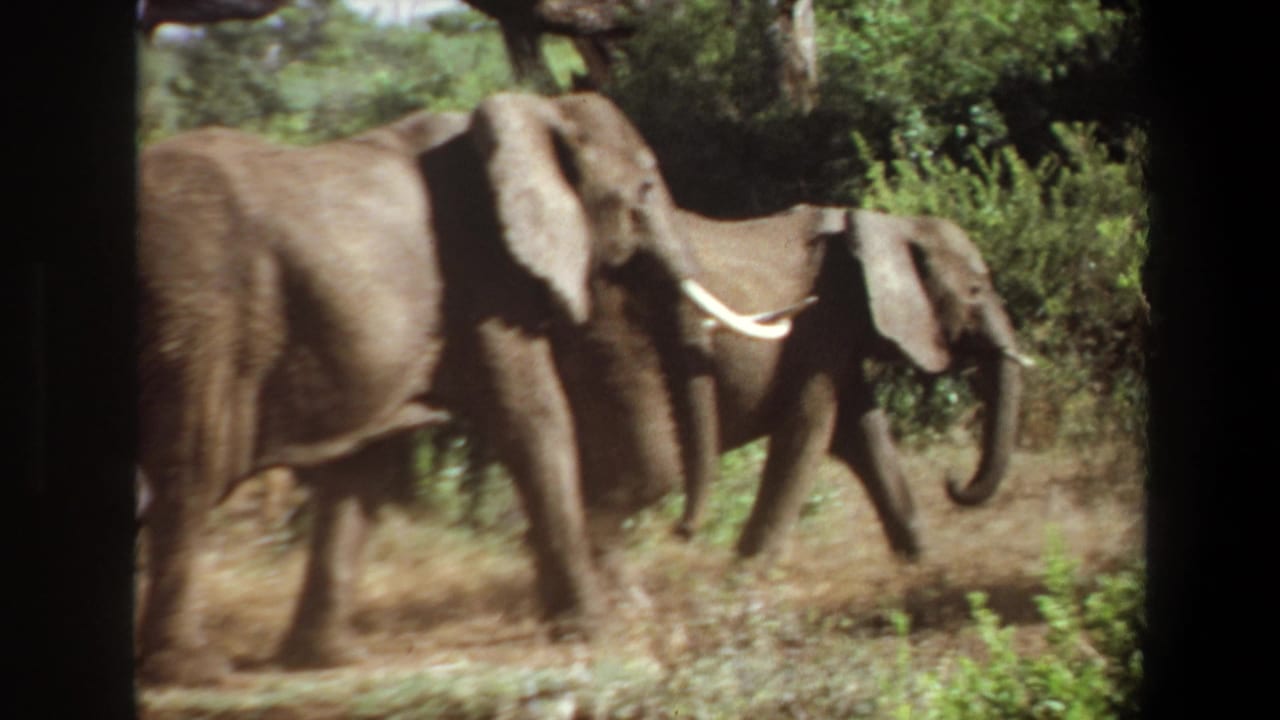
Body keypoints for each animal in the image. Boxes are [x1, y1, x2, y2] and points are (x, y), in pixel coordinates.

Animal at [136, 91, 791, 685]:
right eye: (646, 190)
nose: (685, 533)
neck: (537, 113)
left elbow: (363, 469)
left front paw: (331, 660)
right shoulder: (485, 274)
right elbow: (534, 418)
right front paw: (594, 629)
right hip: (201, 314)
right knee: (193, 469)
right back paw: (195, 672)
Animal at [575, 203, 1031, 563]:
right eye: (976, 290)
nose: (952, 480)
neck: (883, 224)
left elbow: (863, 431)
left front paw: (920, 565)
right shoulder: (819, 326)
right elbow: (809, 431)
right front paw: (747, 580)